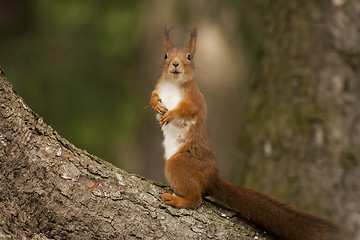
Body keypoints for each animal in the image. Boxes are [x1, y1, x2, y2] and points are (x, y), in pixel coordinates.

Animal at [148, 27, 344, 240]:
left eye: (189, 57)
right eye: (165, 55)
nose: (175, 64)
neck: (173, 84)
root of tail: (211, 177)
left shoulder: (196, 99)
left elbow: (191, 110)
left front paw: (172, 113)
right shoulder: (158, 86)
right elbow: (152, 96)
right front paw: (156, 104)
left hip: (181, 164)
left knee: (196, 198)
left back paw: (178, 201)